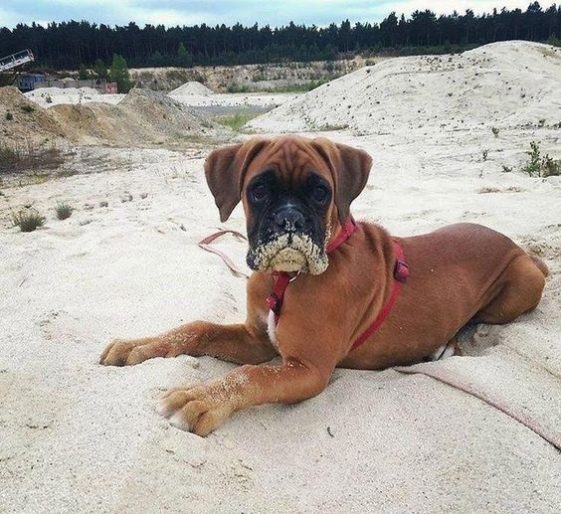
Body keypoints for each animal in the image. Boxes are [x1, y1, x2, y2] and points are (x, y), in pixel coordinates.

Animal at [100, 134, 548, 434]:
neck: (286, 278)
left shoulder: (307, 368)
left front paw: (198, 397)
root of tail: (524, 251)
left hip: (515, 293)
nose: (290, 219)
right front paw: (139, 346)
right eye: (258, 190)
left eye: (320, 192)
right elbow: (198, 328)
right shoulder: (257, 339)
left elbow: (251, 376)